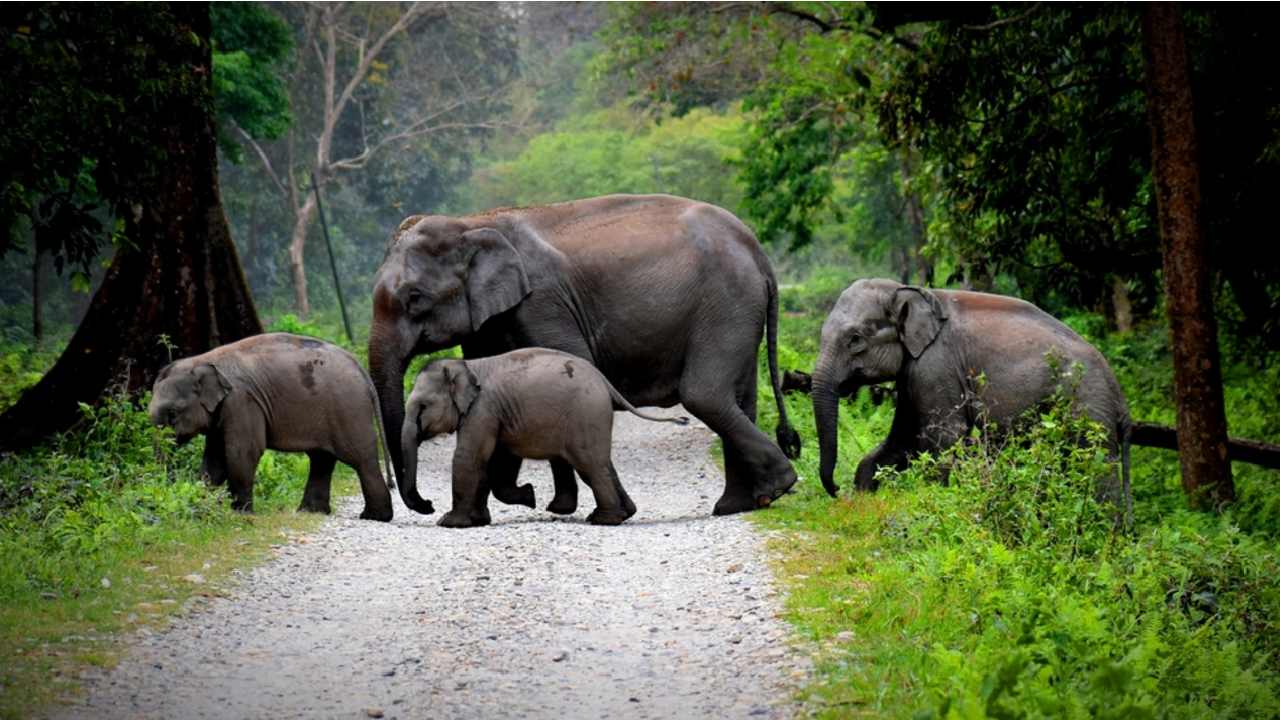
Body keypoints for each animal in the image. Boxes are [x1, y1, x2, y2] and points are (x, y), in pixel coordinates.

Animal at [148, 333, 395, 521]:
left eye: (173, 414)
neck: (203, 360)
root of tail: (361, 369)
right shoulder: (223, 411)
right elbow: (215, 459)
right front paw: (203, 507)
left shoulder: (241, 402)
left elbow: (242, 452)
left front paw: (241, 514)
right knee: (322, 459)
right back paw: (310, 512)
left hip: (349, 409)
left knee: (360, 459)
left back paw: (373, 517)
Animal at [402, 348, 689, 527]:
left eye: (423, 407)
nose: (428, 505)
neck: (466, 366)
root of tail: (605, 382)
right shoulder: (493, 413)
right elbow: (490, 460)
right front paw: (481, 519)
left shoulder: (482, 409)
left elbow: (469, 456)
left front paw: (449, 523)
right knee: (601, 464)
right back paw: (624, 513)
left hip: (586, 414)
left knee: (590, 465)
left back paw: (604, 520)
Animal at [812, 279, 1132, 512]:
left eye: (855, 340)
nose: (836, 491)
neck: (908, 289)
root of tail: (1119, 396)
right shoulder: (913, 372)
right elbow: (905, 436)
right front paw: (864, 495)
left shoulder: (935, 365)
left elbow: (942, 436)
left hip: (1088, 403)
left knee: (1096, 466)